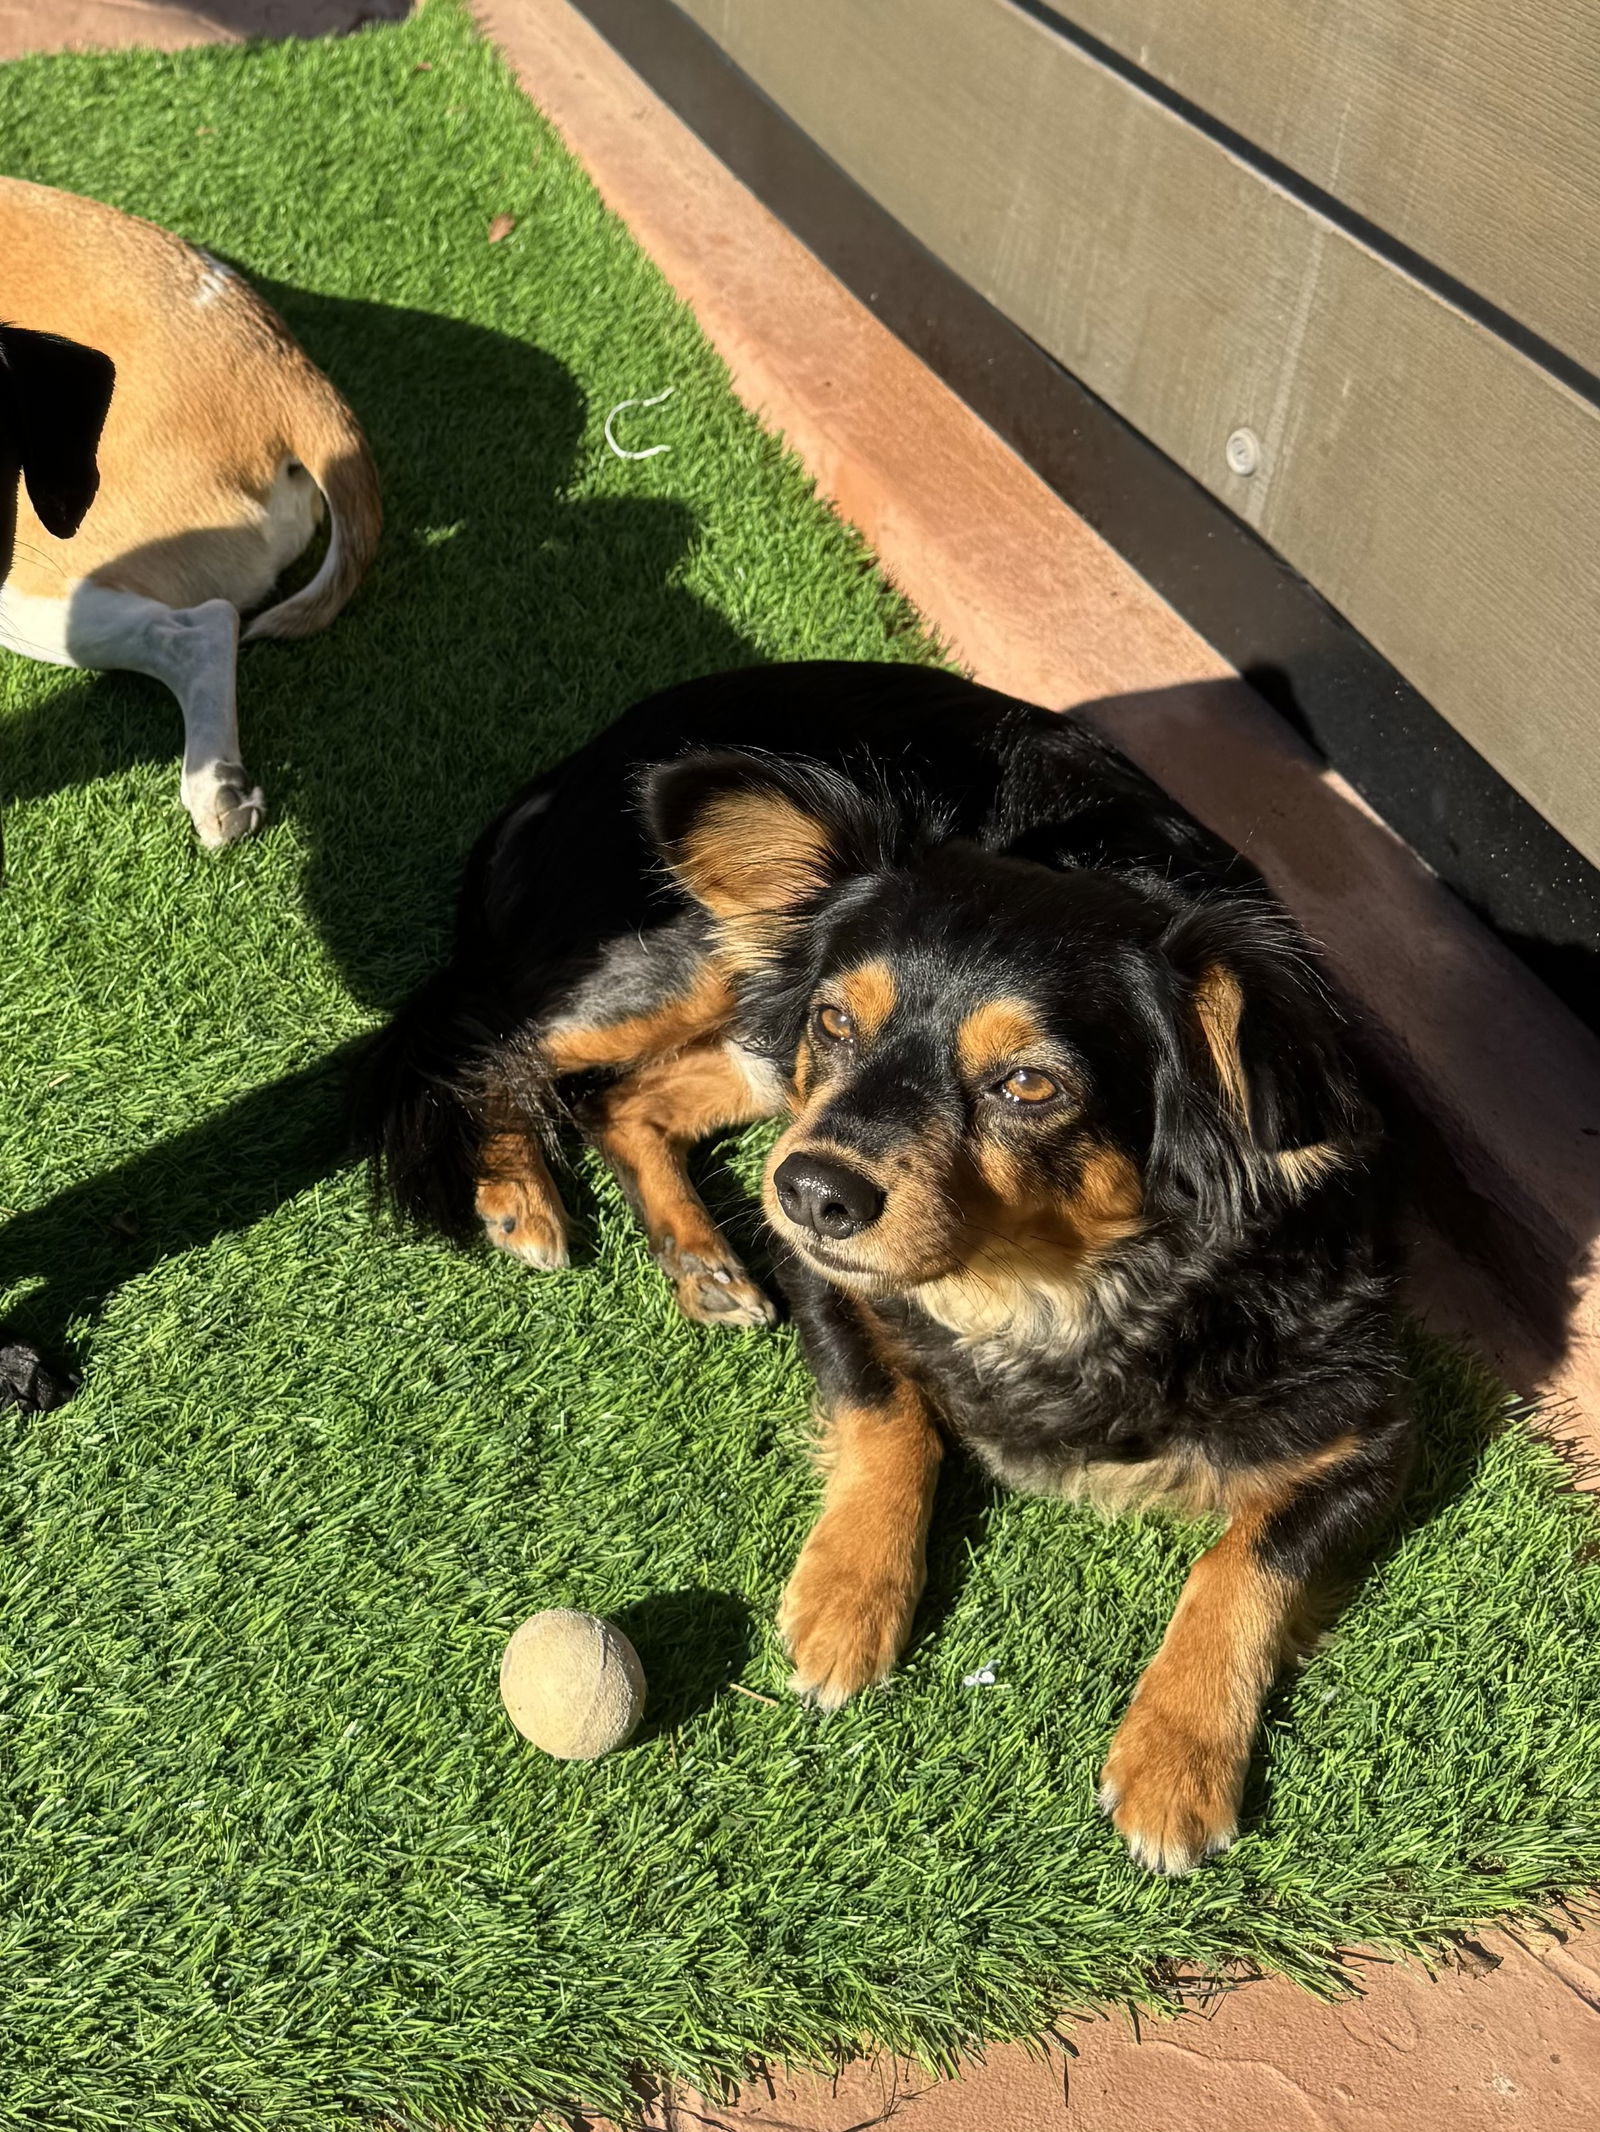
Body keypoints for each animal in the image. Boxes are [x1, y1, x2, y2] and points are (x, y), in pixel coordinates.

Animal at [369, 660, 1408, 1867]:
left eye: (1029, 1084)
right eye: (837, 1020)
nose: (814, 1195)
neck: (1045, 1287)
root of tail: (576, 760)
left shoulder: (1370, 1428)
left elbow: (1246, 1561)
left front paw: (1176, 1761)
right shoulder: (829, 1263)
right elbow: (892, 1412)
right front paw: (846, 1599)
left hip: (754, 1051)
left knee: (625, 1099)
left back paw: (699, 1256)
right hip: (697, 984)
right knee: (496, 1042)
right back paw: (518, 1190)